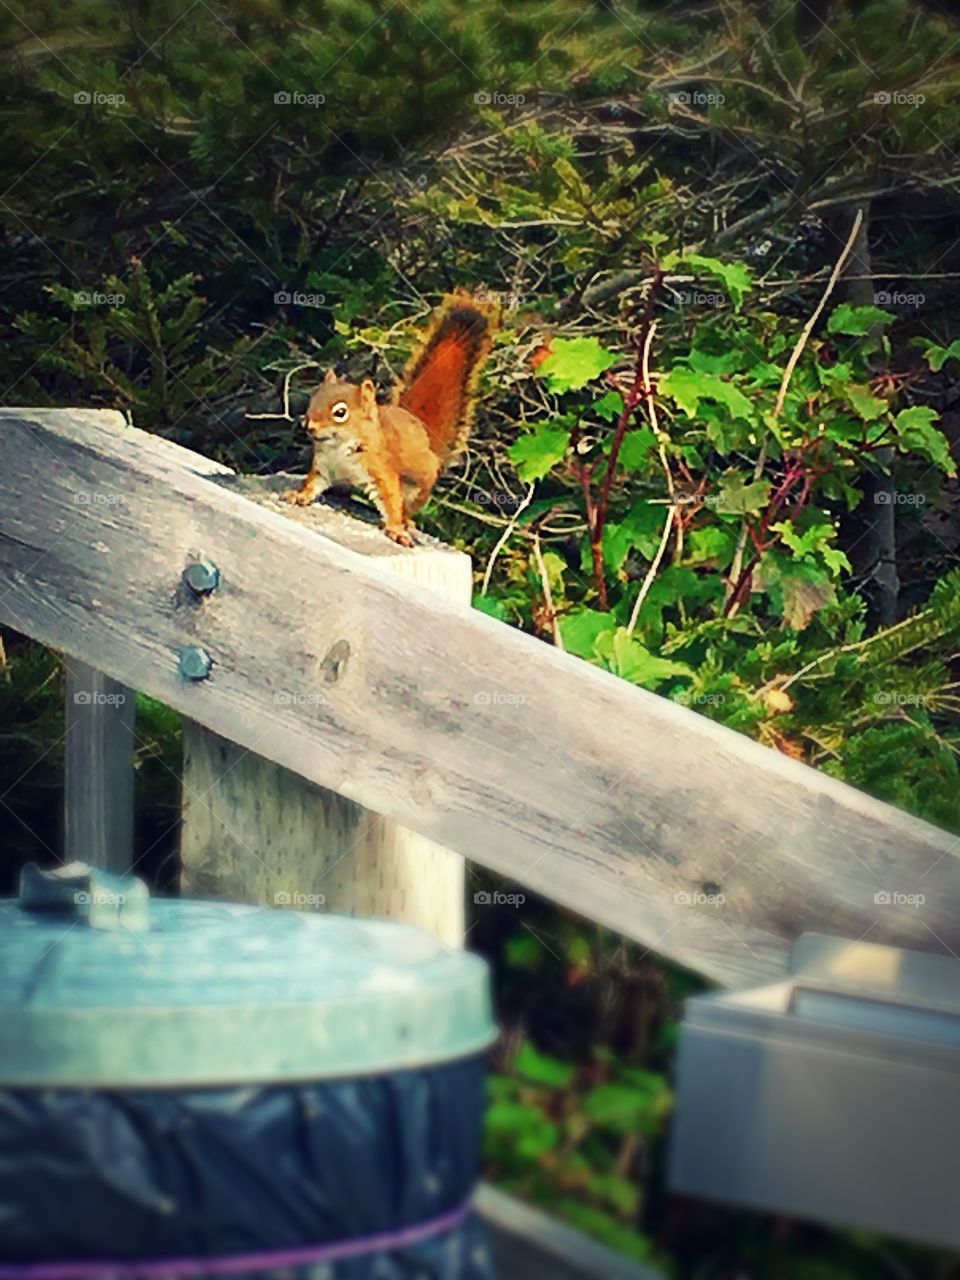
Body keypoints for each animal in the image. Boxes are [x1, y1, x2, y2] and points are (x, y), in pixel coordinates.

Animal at [283, 290, 501, 545]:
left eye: (340, 412)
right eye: (312, 400)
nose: (309, 425)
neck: (340, 447)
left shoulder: (381, 468)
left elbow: (391, 498)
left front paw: (396, 529)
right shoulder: (323, 465)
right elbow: (313, 483)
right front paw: (299, 494)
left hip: (418, 486)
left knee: (407, 505)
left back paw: (407, 521)